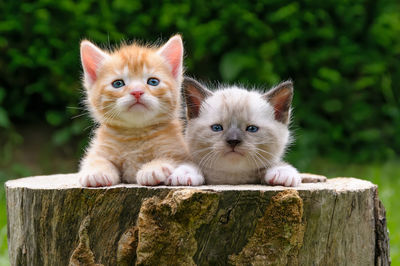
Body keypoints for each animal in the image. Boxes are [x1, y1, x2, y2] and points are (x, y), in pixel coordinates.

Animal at [79, 35, 203, 187]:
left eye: (153, 82)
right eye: (118, 83)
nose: (137, 91)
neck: (135, 134)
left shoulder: (181, 152)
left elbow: (172, 158)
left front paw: (153, 168)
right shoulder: (98, 150)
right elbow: (96, 159)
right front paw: (97, 172)